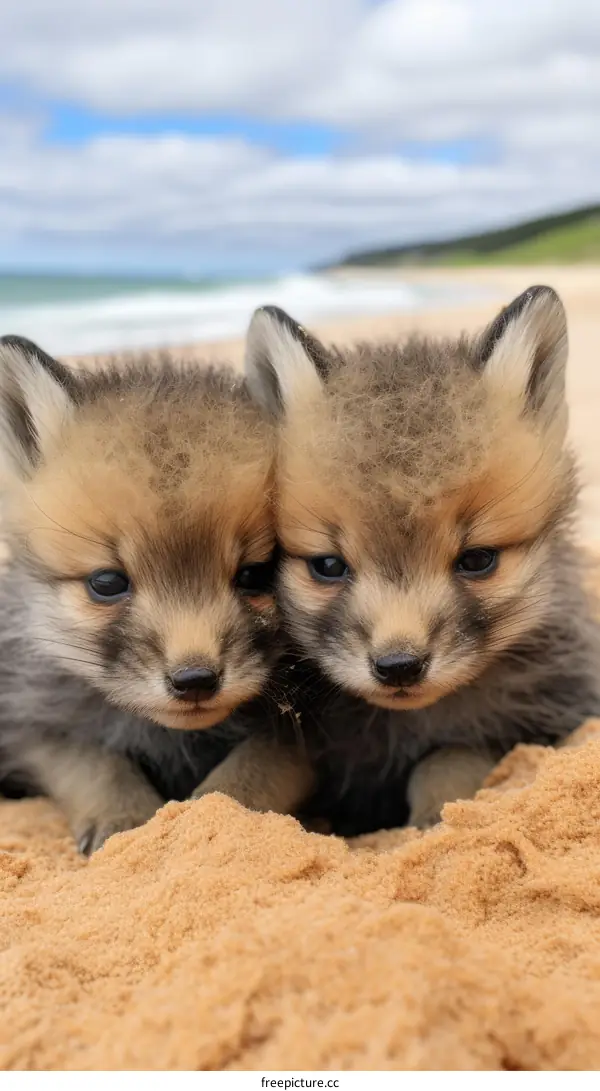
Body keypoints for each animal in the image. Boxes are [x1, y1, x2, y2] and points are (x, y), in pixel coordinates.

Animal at [0, 336, 314, 853]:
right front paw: (122, 815)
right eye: (107, 583)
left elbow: (247, 775)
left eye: (254, 575)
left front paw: (210, 820)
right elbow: (94, 762)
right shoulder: (32, 723)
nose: (195, 680)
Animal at [242, 286, 600, 829]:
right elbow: (243, 781)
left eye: (477, 559)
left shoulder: (532, 721)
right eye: (328, 566)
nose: (398, 667)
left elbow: (447, 757)